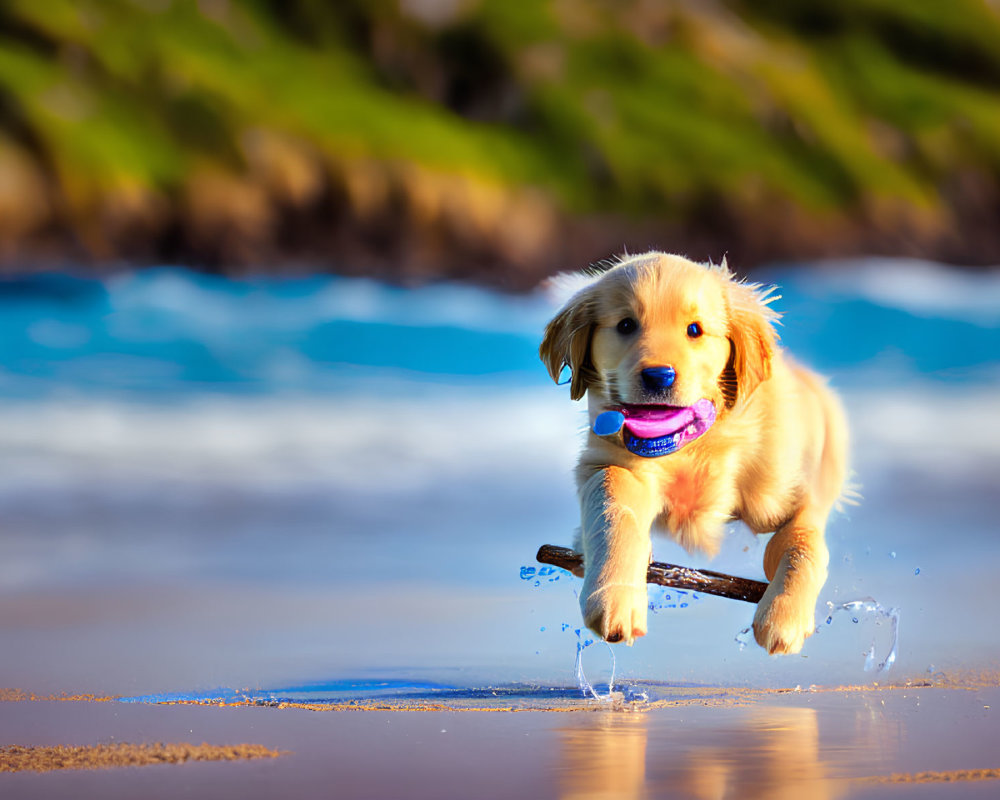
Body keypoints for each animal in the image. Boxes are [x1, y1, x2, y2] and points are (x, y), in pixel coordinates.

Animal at [544, 253, 848, 652]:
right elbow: (614, 510)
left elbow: (803, 543)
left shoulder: (786, 498)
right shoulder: (608, 461)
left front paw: (784, 617)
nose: (658, 376)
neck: (693, 444)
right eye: (626, 325)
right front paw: (614, 598)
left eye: (694, 330)